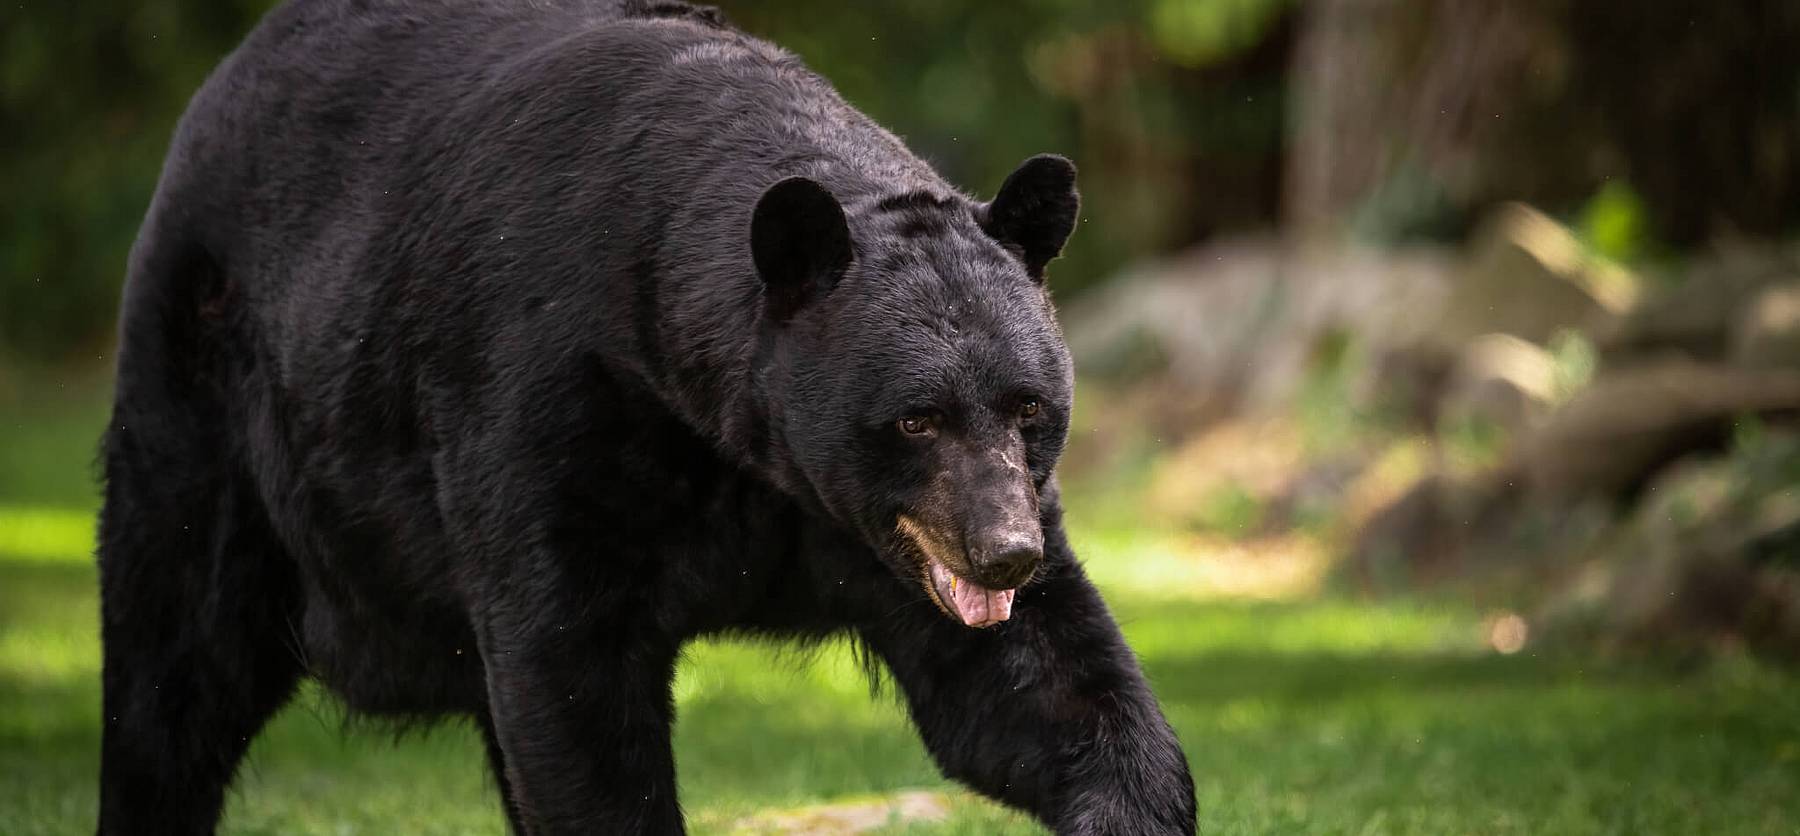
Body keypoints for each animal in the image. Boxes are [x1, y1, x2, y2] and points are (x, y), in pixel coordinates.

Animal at [94, 1, 1195, 828]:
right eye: (914, 418)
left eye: (1029, 405)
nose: (1005, 553)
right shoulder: (552, 415)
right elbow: (573, 681)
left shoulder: (861, 527)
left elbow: (1039, 683)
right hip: (209, 399)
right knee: (175, 663)